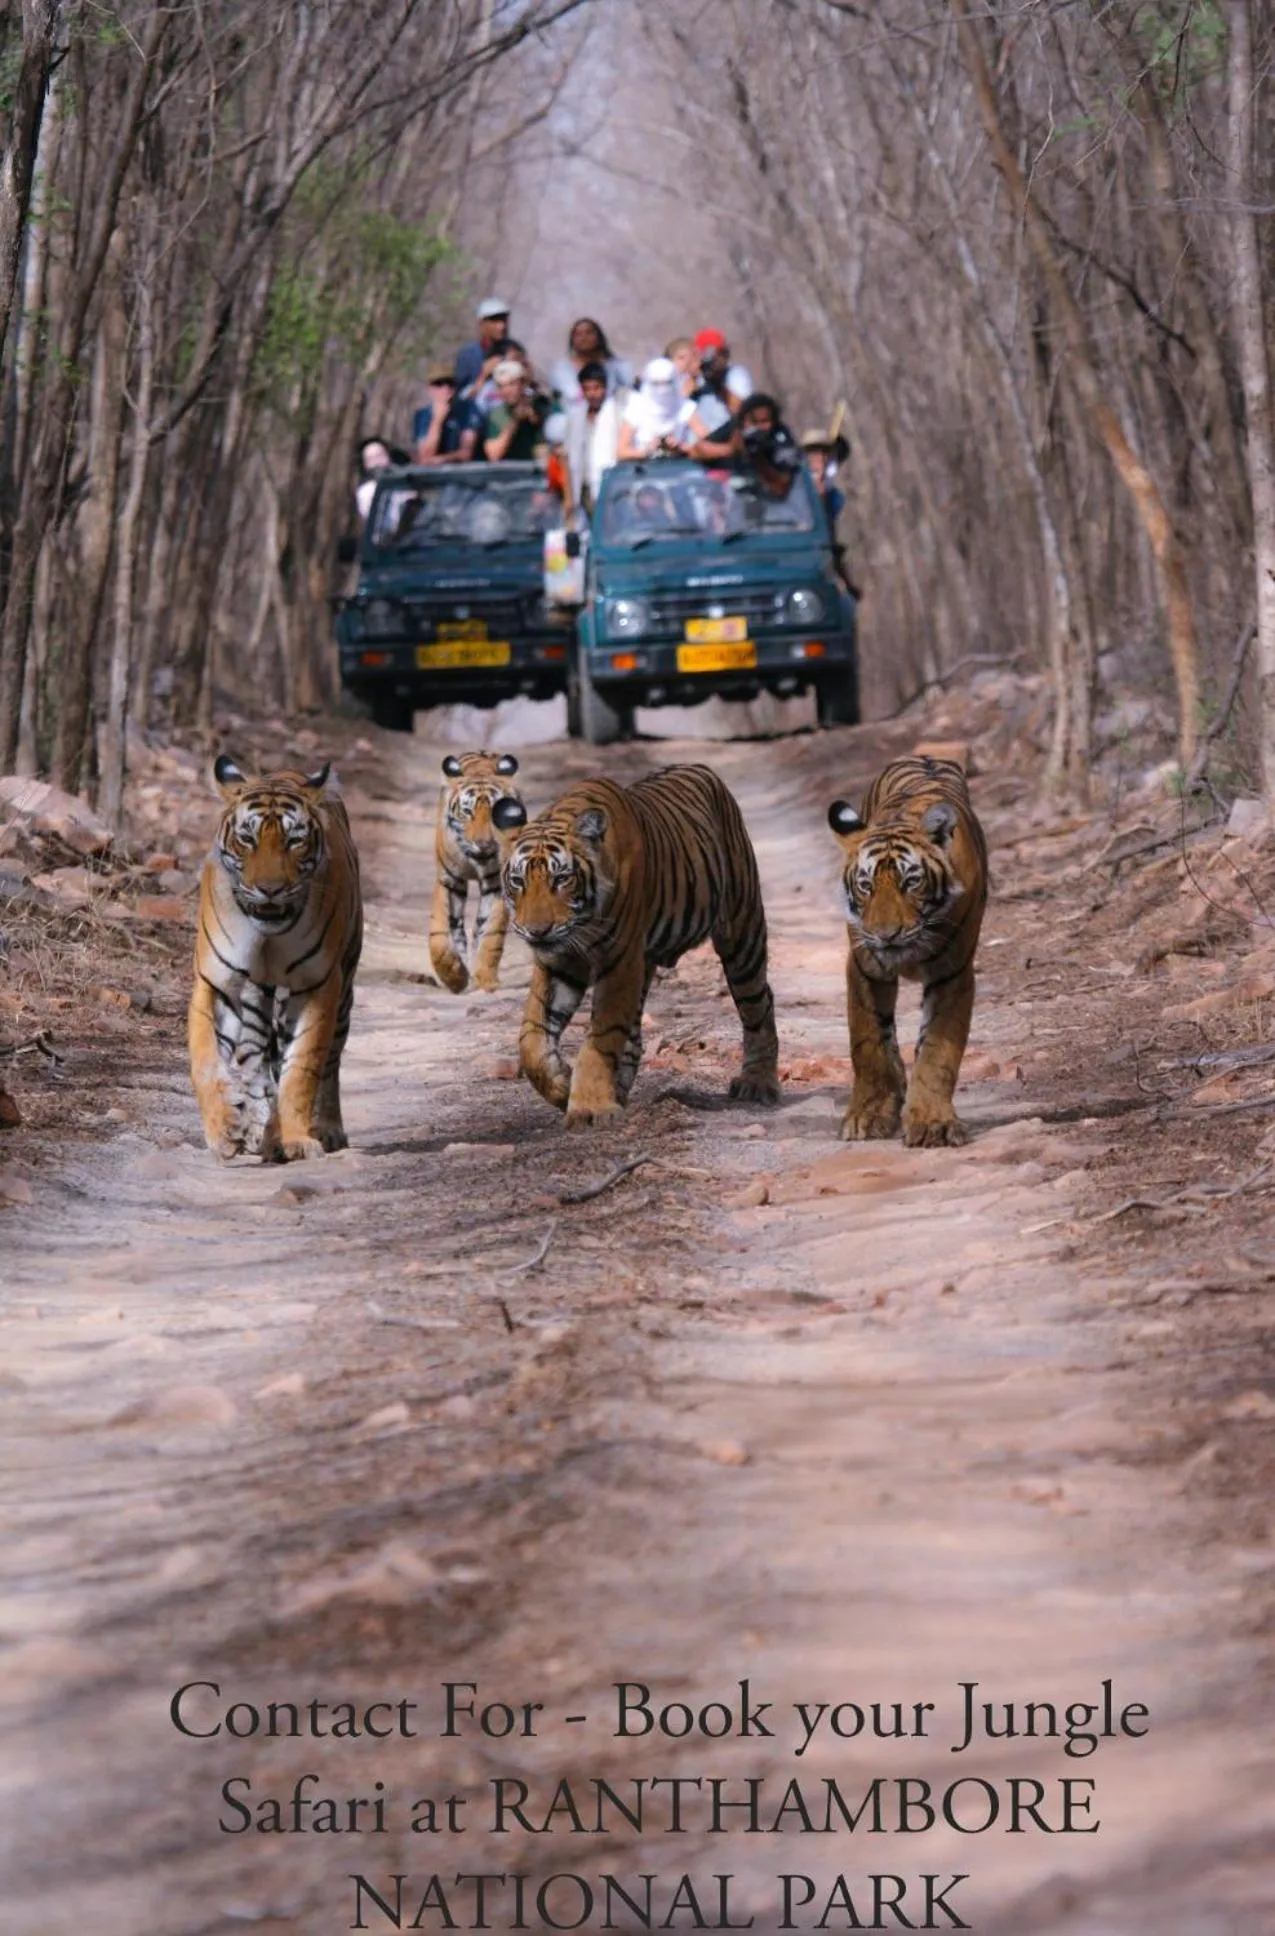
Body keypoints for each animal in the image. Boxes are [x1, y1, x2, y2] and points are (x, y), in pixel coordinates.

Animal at [188, 755, 363, 1162]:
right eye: (247, 839)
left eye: (294, 840)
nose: (270, 889)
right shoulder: (216, 981)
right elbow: (205, 1059)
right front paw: (224, 1131)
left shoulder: (319, 984)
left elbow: (302, 1068)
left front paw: (297, 1139)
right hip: (256, 999)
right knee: (254, 1058)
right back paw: (260, 1133)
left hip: (345, 988)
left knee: (330, 1062)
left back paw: (323, 1129)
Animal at [428, 751, 522, 994]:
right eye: (467, 811)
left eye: (496, 811)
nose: (483, 843)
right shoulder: (449, 880)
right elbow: (439, 932)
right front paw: (453, 976)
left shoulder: (497, 884)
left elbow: (491, 933)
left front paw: (486, 979)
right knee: (456, 927)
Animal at [492, 764, 780, 1126]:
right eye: (518, 881)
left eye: (562, 879)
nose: (537, 932)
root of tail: (702, 769)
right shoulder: (560, 963)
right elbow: (532, 1038)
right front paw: (562, 1085)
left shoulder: (620, 961)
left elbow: (601, 1037)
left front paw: (589, 1107)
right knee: (634, 1037)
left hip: (741, 930)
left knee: (758, 1004)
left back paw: (758, 1084)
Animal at [827, 754, 987, 1148]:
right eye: (865, 886)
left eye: (911, 882)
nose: (887, 935)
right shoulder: (865, 966)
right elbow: (868, 1043)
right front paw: (867, 1116)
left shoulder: (953, 973)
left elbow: (937, 1051)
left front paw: (933, 1124)